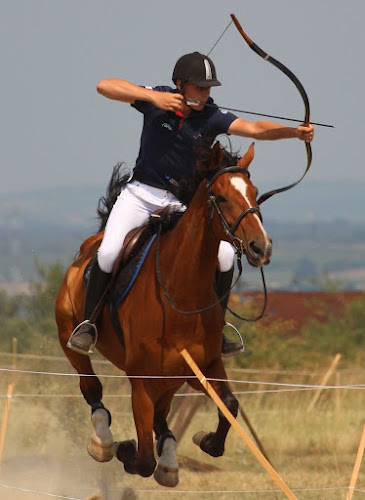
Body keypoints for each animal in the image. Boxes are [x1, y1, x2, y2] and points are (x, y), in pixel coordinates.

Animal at [55, 142, 272, 488]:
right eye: (222, 197)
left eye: (255, 193)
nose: (260, 247)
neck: (180, 293)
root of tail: (91, 245)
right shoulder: (142, 380)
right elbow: (143, 458)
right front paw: (125, 449)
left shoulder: (204, 367)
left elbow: (230, 405)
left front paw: (206, 441)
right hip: (69, 338)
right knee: (92, 389)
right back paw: (104, 441)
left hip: (172, 376)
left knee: (161, 416)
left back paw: (168, 459)